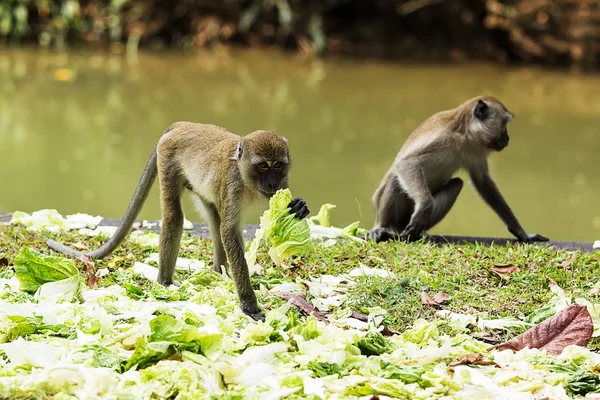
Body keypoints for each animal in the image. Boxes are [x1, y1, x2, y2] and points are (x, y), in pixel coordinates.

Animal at [47, 122, 310, 322]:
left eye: (278, 165)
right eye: (263, 166)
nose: (271, 182)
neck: (248, 181)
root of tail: (185, 125)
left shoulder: (281, 183)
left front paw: (297, 206)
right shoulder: (233, 185)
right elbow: (229, 231)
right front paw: (249, 304)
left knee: (212, 213)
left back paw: (219, 272)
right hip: (167, 157)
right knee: (175, 216)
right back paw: (165, 282)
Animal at [366, 95, 548, 244]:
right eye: (504, 124)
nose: (507, 138)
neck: (464, 137)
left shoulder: (476, 152)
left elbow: (483, 182)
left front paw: (520, 232)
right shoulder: (442, 138)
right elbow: (407, 163)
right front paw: (424, 207)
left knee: (456, 184)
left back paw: (419, 234)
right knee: (395, 178)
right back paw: (383, 228)